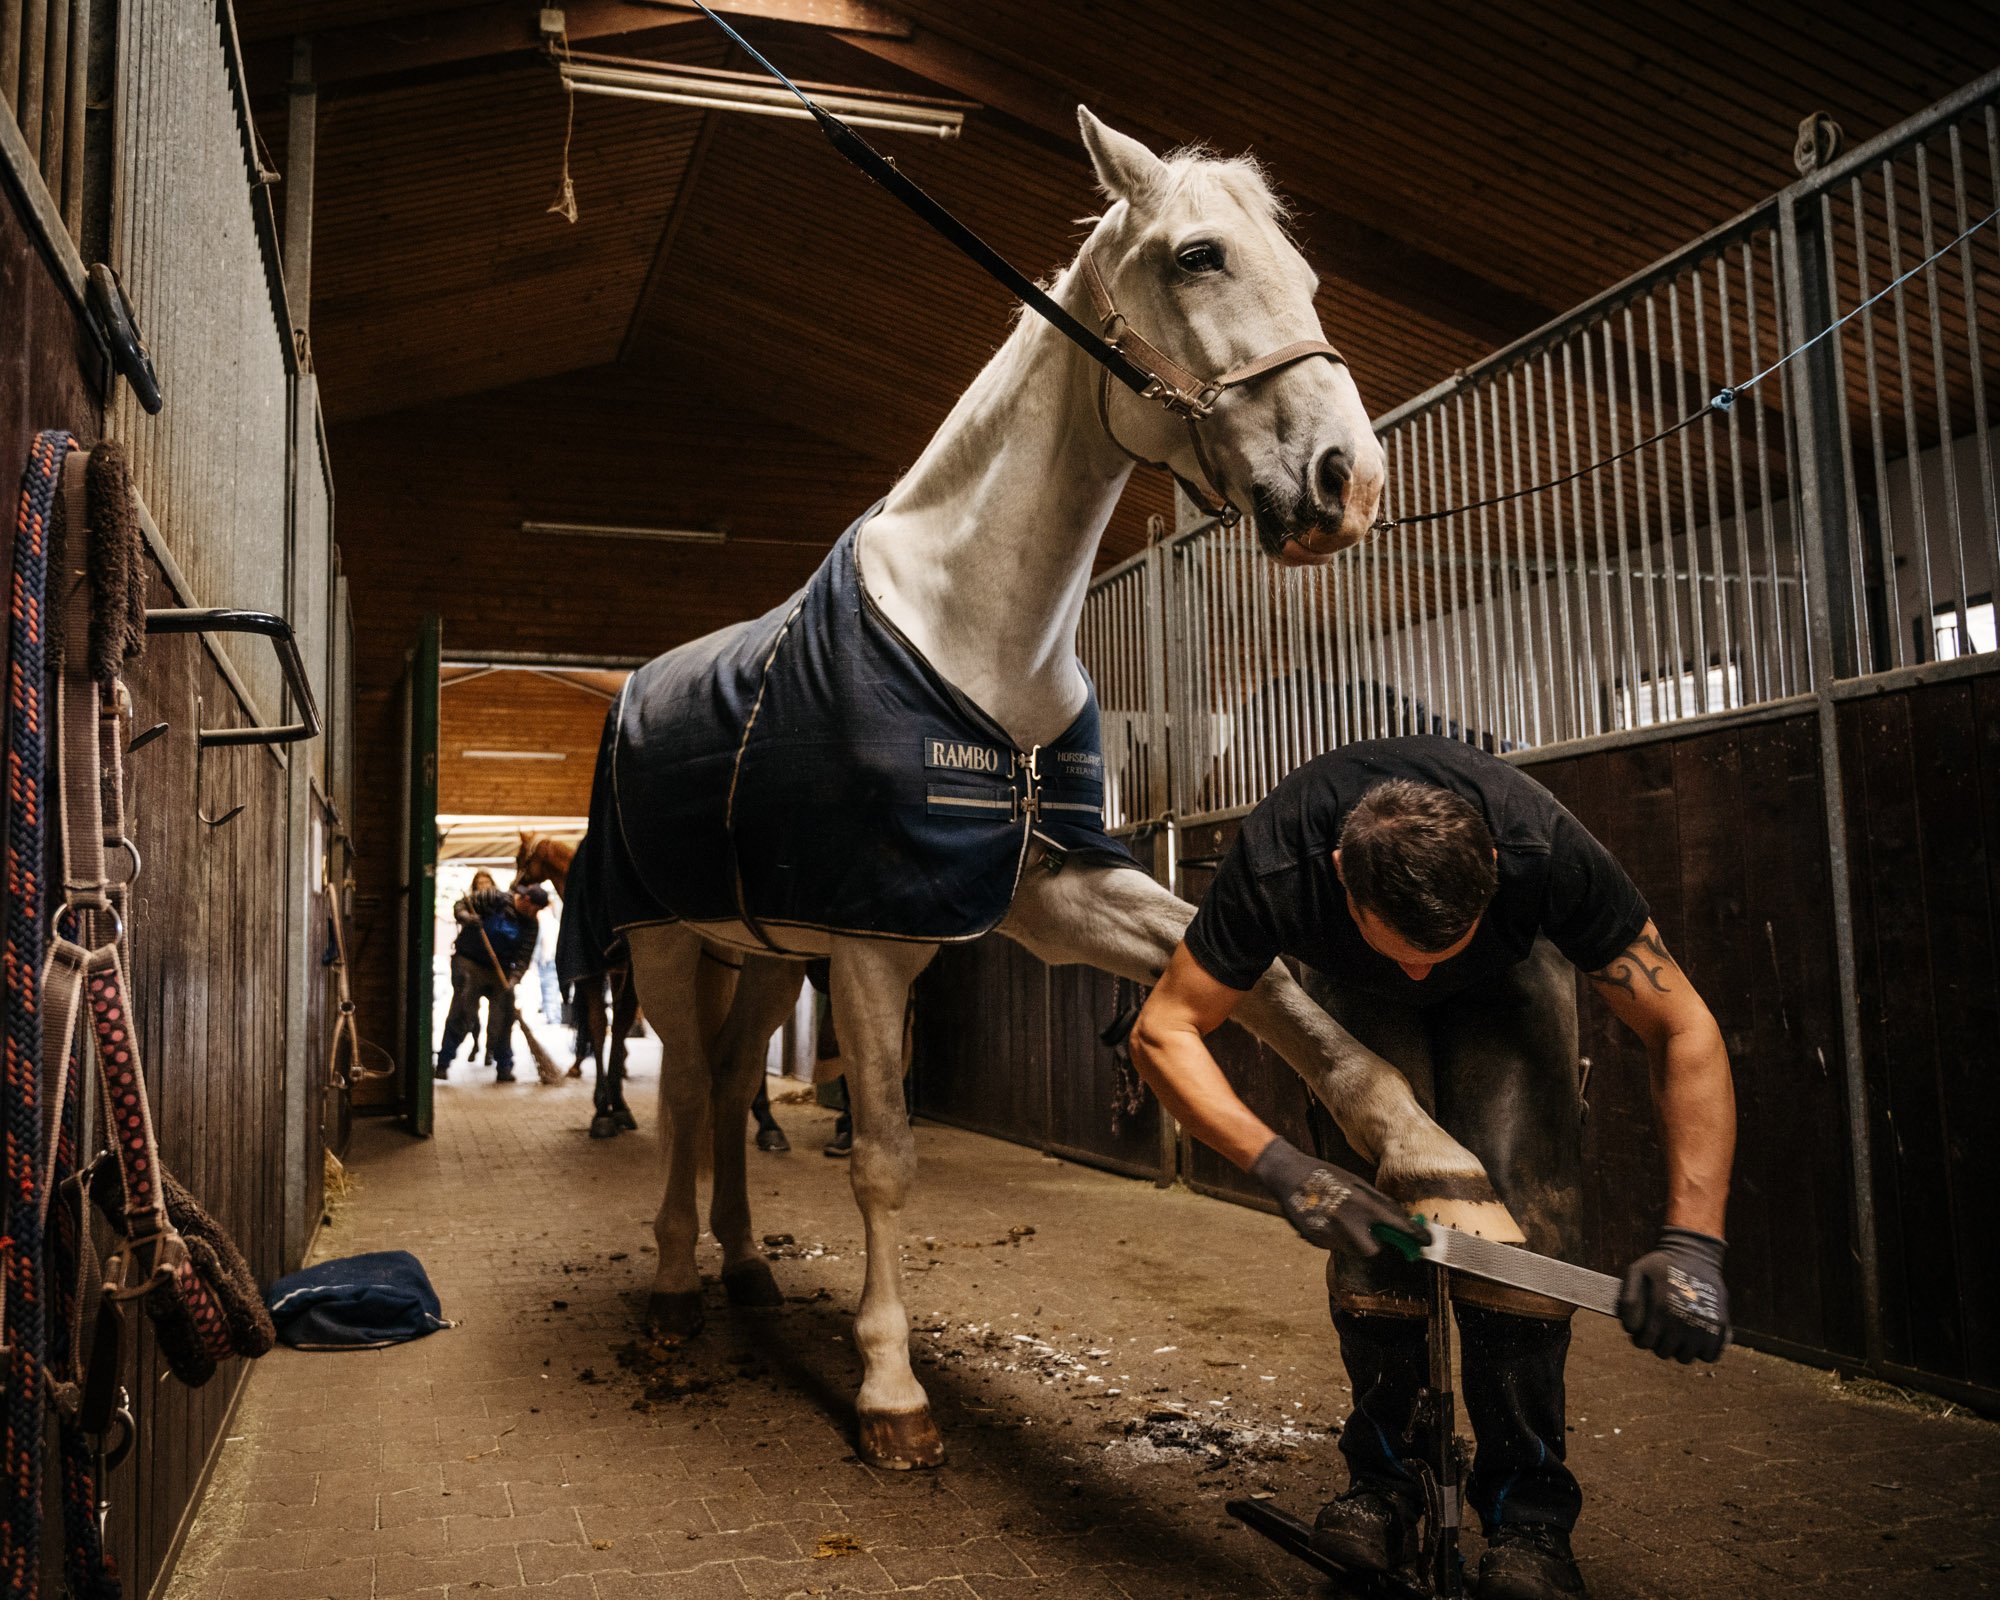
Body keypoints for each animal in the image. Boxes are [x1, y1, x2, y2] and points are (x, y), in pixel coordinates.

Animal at [624, 109, 1512, 1472]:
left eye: (1309, 277)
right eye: (1197, 256)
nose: (1345, 482)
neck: (975, 633)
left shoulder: (1061, 890)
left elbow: (1284, 999)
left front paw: (1435, 1163)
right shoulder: (873, 939)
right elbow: (883, 1158)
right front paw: (891, 1391)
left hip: (766, 950)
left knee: (724, 1083)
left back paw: (741, 1268)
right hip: (668, 940)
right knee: (676, 1088)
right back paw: (674, 1291)